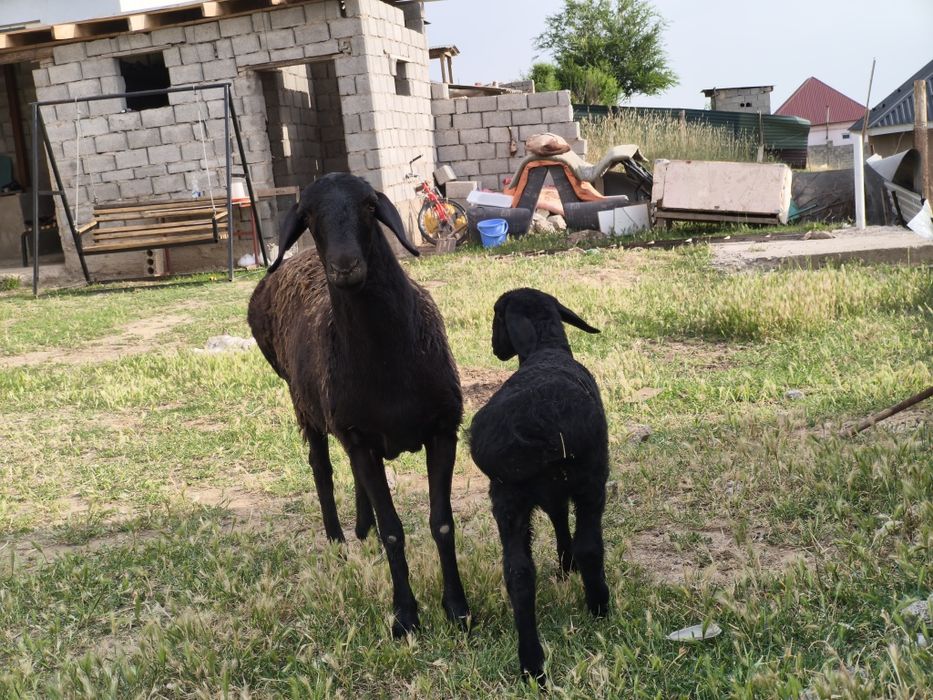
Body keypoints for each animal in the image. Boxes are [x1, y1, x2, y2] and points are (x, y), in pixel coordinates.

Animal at [247, 173, 470, 637]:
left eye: (370, 205)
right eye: (308, 214)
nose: (346, 266)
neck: (390, 360)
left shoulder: (442, 430)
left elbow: (441, 523)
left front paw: (458, 609)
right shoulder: (361, 437)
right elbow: (393, 531)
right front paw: (405, 616)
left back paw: (361, 527)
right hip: (306, 407)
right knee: (322, 469)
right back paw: (337, 540)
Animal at [469, 288, 609, 681]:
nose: (495, 347)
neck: (546, 346)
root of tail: (536, 426)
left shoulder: (549, 492)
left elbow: (560, 520)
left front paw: (564, 565)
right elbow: (568, 527)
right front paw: (568, 565)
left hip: (508, 497)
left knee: (518, 572)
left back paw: (532, 663)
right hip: (591, 479)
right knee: (589, 545)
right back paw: (599, 607)